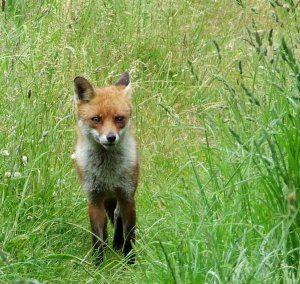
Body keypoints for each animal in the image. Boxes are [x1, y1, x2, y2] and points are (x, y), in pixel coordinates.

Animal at [73, 71, 139, 264]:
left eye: (119, 118)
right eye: (96, 119)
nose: (111, 137)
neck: (107, 173)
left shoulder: (127, 197)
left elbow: (129, 236)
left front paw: (130, 263)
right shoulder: (94, 199)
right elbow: (97, 238)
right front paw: (98, 265)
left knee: (117, 218)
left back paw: (117, 244)